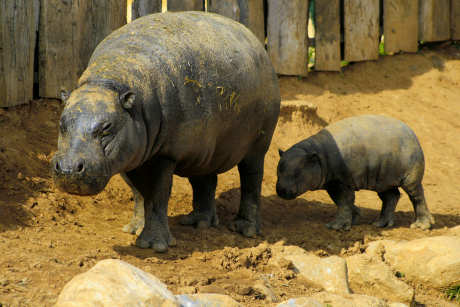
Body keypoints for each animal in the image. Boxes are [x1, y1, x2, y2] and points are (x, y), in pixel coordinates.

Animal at [50, 12, 280, 253]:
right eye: (61, 124)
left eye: (106, 128)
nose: (68, 169)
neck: (109, 84)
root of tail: (257, 42)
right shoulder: (130, 154)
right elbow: (139, 193)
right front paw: (134, 229)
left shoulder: (164, 154)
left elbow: (158, 195)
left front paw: (154, 245)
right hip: (203, 146)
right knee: (204, 178)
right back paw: (199, 223)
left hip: (258, 143)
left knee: (251, 179)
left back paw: (245, 230)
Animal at [276, 115, 434, 231]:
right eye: (278, 170)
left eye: (297, 174)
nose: (281, 190)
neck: (316, 154)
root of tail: (411, 132)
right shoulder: (332, 182)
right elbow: (341, 201)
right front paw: (354, 217)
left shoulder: (342, 181)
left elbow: (344, 200)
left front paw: (335, 227)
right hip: (382, 177)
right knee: (390, 196)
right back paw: (380, 224)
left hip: (410, 173)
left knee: (416, 194)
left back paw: (420, 227)